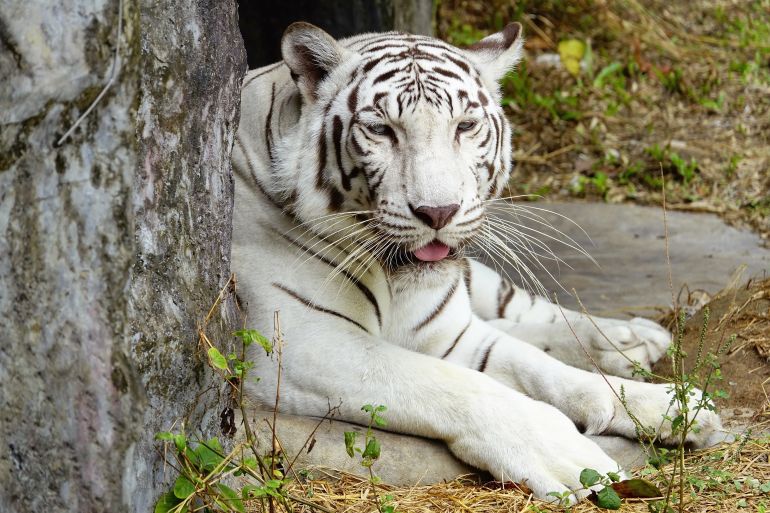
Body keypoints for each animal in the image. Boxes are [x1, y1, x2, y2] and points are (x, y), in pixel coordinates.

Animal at [230, 23, 720, 500]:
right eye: (381, 130)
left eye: (464, 126)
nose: (437, 212)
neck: (396, 284)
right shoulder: (302, 344)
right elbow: (460, 384)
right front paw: (567, 456)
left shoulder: (448, 334)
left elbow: (539, 368)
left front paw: (668, 406)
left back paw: (631, 340)